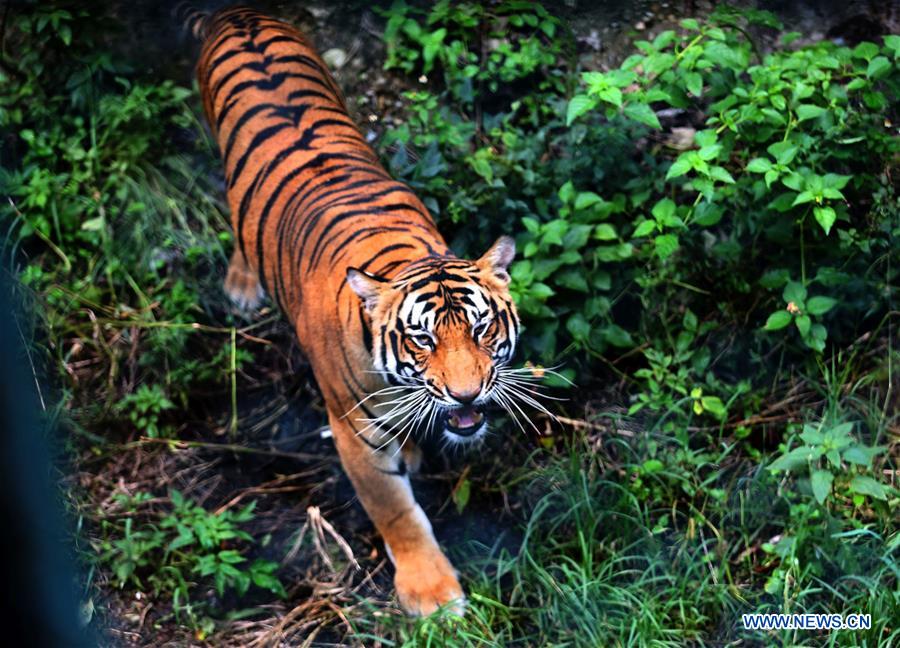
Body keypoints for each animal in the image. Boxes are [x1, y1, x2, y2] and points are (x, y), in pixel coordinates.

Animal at [188, 5, 525, 615]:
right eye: (422, 339)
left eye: (482, 328)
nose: (467, 396)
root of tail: (239, 14)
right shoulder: (354, 432)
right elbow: (396, 511)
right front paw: (433, 599)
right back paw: (243, 284)